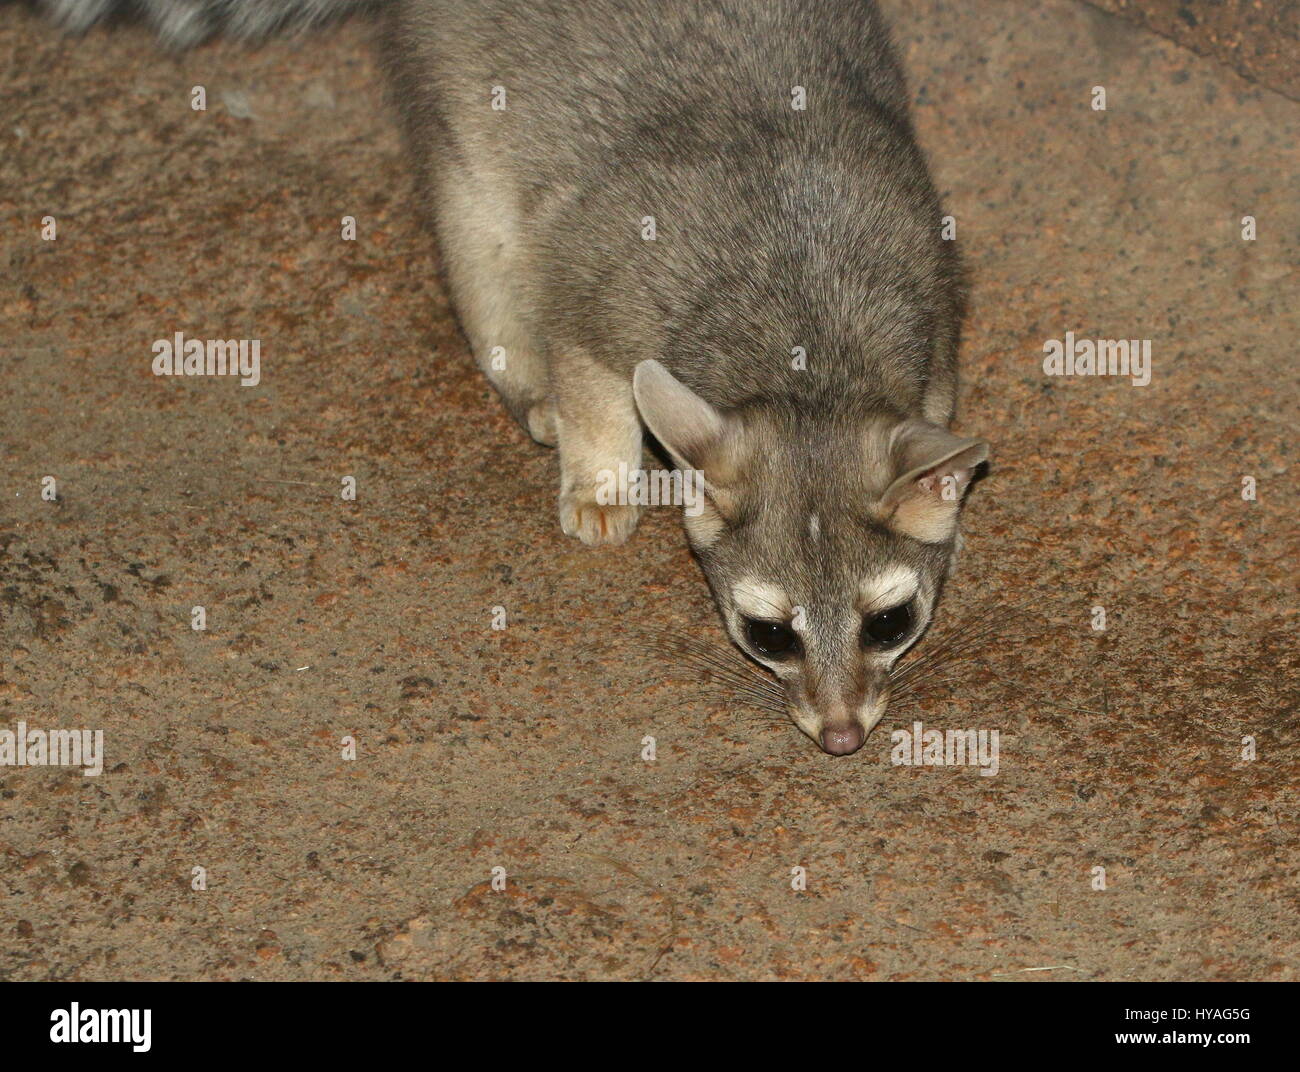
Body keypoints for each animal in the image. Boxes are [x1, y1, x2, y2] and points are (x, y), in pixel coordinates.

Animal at [43, 0, 993, 753]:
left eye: (889, 622)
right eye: (770, 636)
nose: (840, 738)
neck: (806, 357)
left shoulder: (931, 289)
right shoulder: (604, 282)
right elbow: (590, 370)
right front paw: (602, 466)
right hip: (463, 106)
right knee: (479, 234)